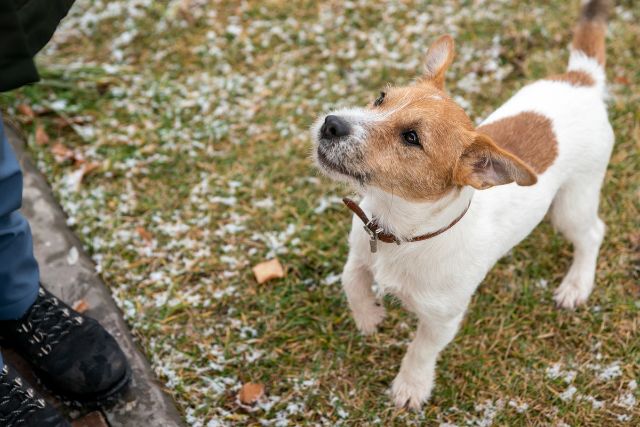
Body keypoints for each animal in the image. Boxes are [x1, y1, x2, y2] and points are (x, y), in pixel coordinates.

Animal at [312, 0, 612, 408]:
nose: (331, 124)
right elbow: (351, 280)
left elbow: (421, 349)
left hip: (573, 203)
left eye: (411, 137)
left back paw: (576, 285)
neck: (400, 231)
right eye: (380, 98)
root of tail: (584, 80)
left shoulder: (442, 319)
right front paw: (369, 317)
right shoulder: (360, 248)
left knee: (593, 233)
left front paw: (411, 386)